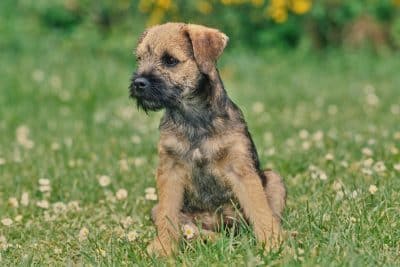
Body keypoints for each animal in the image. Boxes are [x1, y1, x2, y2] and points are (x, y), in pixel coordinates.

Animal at [130, 23, 286, 258]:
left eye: (170, 60)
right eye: (139, 58)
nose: (138, 83)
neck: (193, 118)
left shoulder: (240, 169)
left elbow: (260, 210)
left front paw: (273, 244)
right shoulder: (170, 171)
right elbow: (168, 214)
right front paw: (164, 248)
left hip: (274, 180)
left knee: (267, 216)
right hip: (159, 210)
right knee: (191, 228)